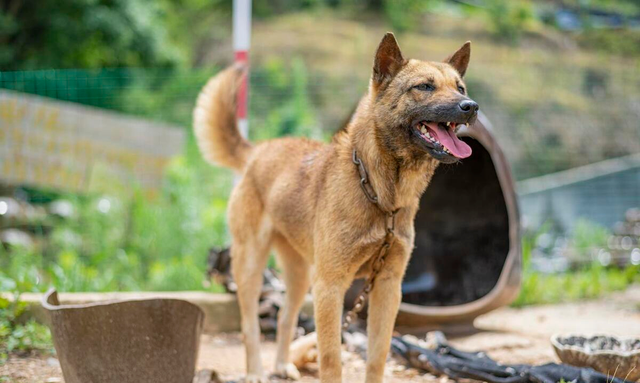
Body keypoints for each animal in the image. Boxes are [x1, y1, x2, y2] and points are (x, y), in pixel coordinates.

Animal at [192, 33, 478, 383]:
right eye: (424, 86)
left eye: (460, 88)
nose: (470, 107)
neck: (379, 195)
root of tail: (257, 151)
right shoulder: (330, 288)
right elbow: (331, 359)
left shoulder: (387, 288)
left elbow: (377, 356)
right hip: (251, 267)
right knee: (250, 327)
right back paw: (257, 371)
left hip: (301, 277)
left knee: (286, 318)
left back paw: (281, 365)